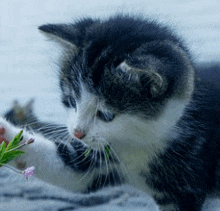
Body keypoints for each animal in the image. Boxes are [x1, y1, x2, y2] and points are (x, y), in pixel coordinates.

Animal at [1, 14, 220, 211]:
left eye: (106, 115)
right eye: (71, 101)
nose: (77, 133)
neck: (138, 141)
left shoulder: (186, 183)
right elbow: (67, 171)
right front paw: (5, 134)